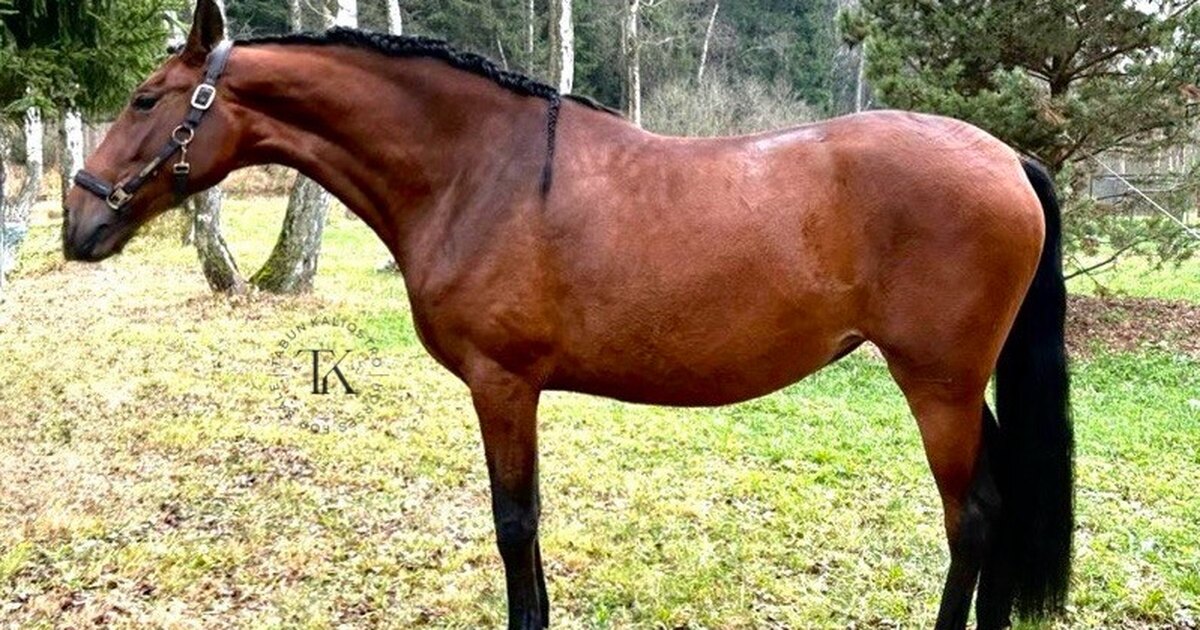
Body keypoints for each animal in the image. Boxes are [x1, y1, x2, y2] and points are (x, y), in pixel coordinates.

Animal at [62, 2, 1073, 628]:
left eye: (145, 99)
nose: (79, 221)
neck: (480, 170)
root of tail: (1010, 158)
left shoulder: (502, 385)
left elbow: (515, 525)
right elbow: (530, 524)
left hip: (937, 386)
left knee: (974, 516)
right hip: (960, 388)